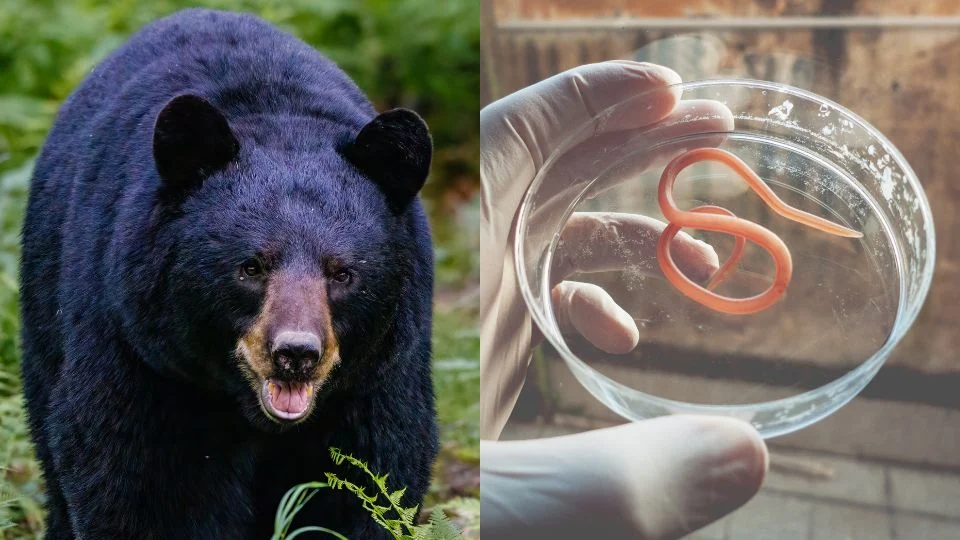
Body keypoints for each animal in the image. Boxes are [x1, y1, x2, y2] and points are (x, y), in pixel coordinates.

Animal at [19, 8, 437, 539]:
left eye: (343, 273)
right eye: (250, 267)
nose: (296, 354)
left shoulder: (378, 374)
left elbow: (369, 479)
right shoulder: (141, 351)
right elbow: (144, 483)